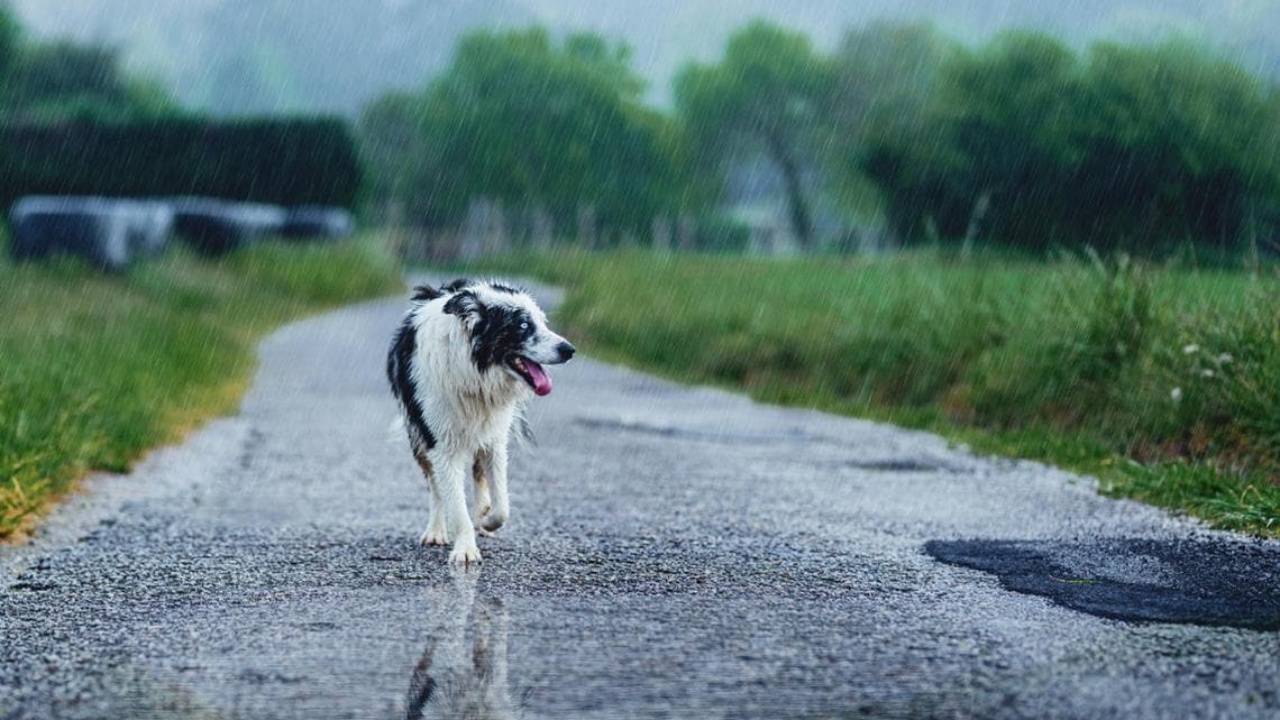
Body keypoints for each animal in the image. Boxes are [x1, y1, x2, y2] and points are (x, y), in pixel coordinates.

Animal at [384, 278, 576, 563]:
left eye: (543, 323)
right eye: (522, 325)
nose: (569, 350)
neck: (474, 372)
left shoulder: (495, 437)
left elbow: (502, 504)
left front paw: (486, 521)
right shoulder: (439, 442)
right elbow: (454, 503)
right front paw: (465, 549)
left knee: (479, 474)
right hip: (418, 435)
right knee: (435, 486)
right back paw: (436, 531)